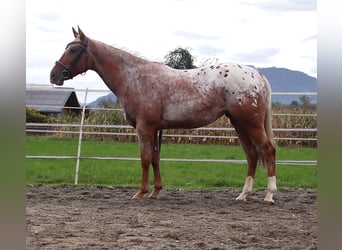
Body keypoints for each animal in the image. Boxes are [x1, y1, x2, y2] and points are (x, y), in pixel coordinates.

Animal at [49, 26, 276, 204]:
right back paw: (243, 195)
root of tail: (257, 75)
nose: (54, 75)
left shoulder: (145, 128)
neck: (135, 78)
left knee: (267, 150)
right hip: (239, 123)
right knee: (252, 154)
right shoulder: (155, 129)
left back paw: (269, 195)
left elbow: (145, 159)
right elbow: (155, 159)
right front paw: (155, 191)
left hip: (251, 123)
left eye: (74, 49)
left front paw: (140, 192)